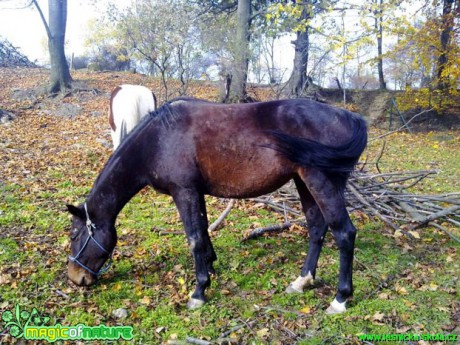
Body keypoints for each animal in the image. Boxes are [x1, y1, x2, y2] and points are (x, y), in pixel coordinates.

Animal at [66, 96, 366, 312]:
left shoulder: (184, 191)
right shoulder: (195, 193)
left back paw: (340, 299)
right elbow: (203, 231)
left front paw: (199, 292)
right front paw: (210, 267)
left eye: (74, 235)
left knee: (344, 233)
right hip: (304, 183)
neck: (158, 139)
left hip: (320, 181)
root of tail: (350, 116)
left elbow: (194, 238)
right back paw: (301, 281)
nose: (75, 278)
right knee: (316, 228)